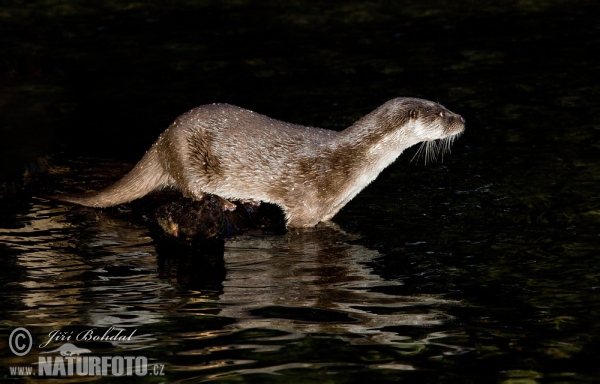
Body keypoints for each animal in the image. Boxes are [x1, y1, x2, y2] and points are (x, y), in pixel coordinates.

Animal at [51, 97, 464, 226]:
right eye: (442, 114)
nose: (462, 119)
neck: (353, 162)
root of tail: (162, 138)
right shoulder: (306, 208)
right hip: (185, 151)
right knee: (188, 187)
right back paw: (224, 201)